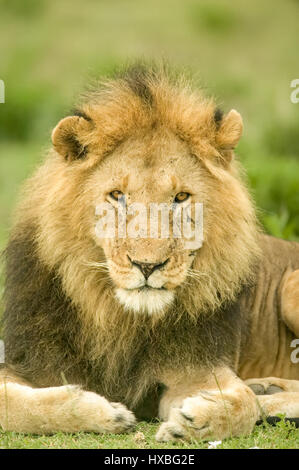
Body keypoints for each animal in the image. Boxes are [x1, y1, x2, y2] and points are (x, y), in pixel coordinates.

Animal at [0, 64, 299, 442]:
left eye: (181, 197)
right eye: (117, 195)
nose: (147, 265)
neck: (118, 318)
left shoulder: (196, 364)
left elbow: (241, 402)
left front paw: (196, 421)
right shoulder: (26, 358)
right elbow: (13, 405)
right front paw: (103, 413)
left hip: (290, 286)